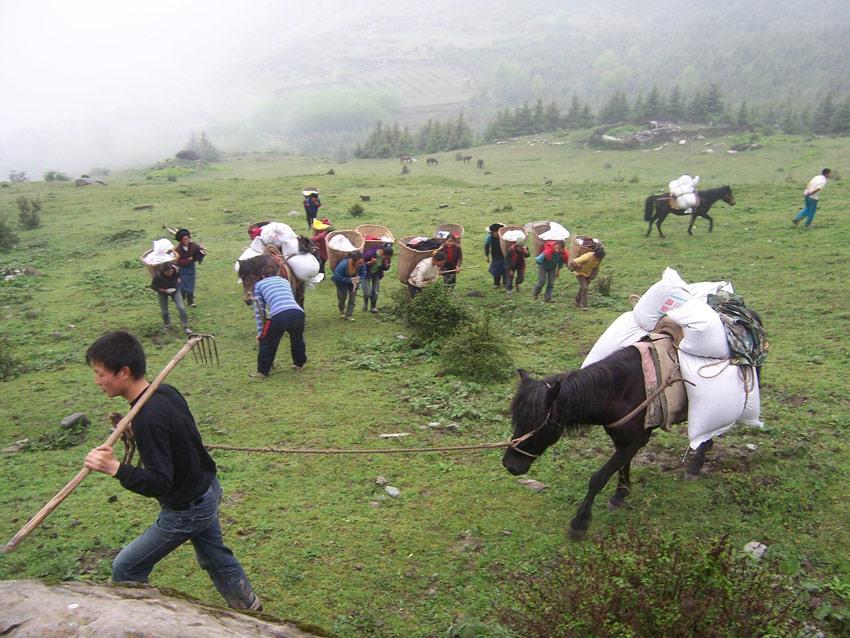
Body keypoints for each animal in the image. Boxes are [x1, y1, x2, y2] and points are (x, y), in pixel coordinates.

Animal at [500, 348, 720, 544]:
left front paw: (579, 523)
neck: (623, 390)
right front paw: (620, 495)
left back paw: (695, 467)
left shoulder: (638, 439)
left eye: (537, 424)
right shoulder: (621, 436)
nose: (510, 465)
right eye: (517, 419)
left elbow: (599, 478)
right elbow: (622, 465)